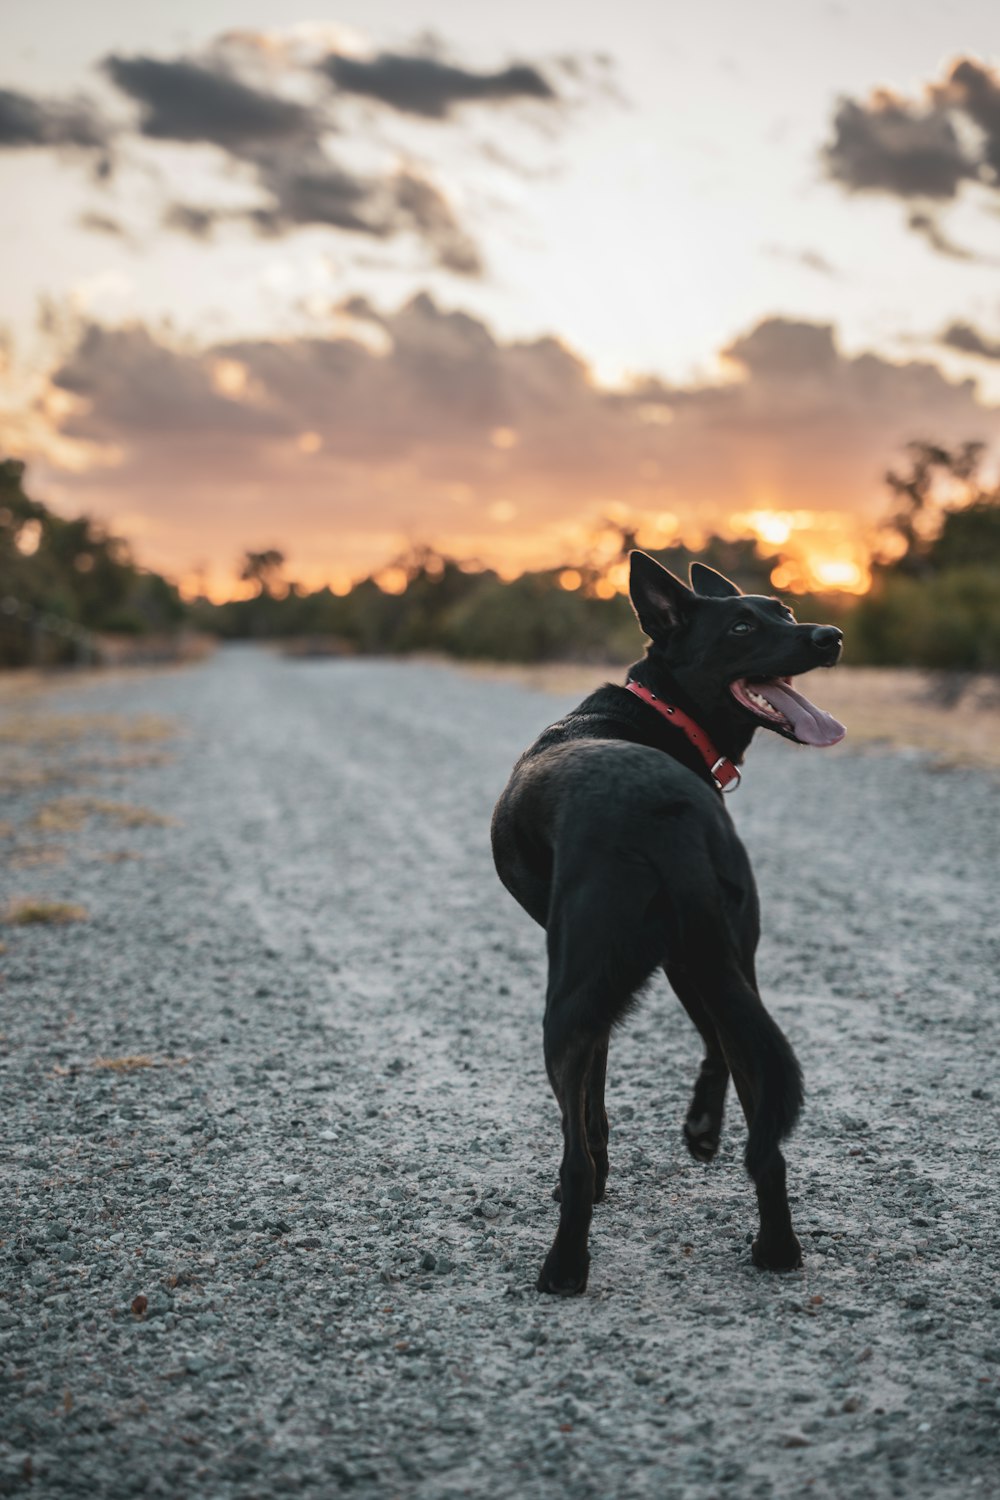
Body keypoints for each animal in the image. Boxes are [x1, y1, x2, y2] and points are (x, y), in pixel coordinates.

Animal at [491, 552, 845, 1290]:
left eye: (786, 612)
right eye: (745, 623)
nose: (829, 636)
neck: (664, 710)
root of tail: (664, 814)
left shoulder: (588, 984)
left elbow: (589, 1111)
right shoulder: (696, 960)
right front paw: (700, 1130)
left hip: (571, 999)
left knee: (572, 1153)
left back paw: (563, 1269)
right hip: (717, 960)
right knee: (762, 1127)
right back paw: (773, 1243)